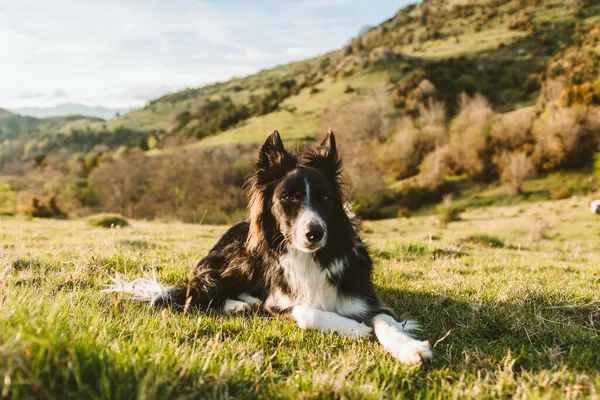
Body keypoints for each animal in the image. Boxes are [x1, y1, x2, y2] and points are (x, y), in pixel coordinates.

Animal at [109, 131, 432, 366]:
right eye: (288, 198)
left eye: (326, 198)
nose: (314, 233)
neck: (312, 258)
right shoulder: (278, 304)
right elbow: (305, 312)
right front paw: (353, 328)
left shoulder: (368, 300)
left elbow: (386, 321)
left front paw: (409, 347)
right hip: (243, 260)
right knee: (205, 291)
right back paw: (237, 304)